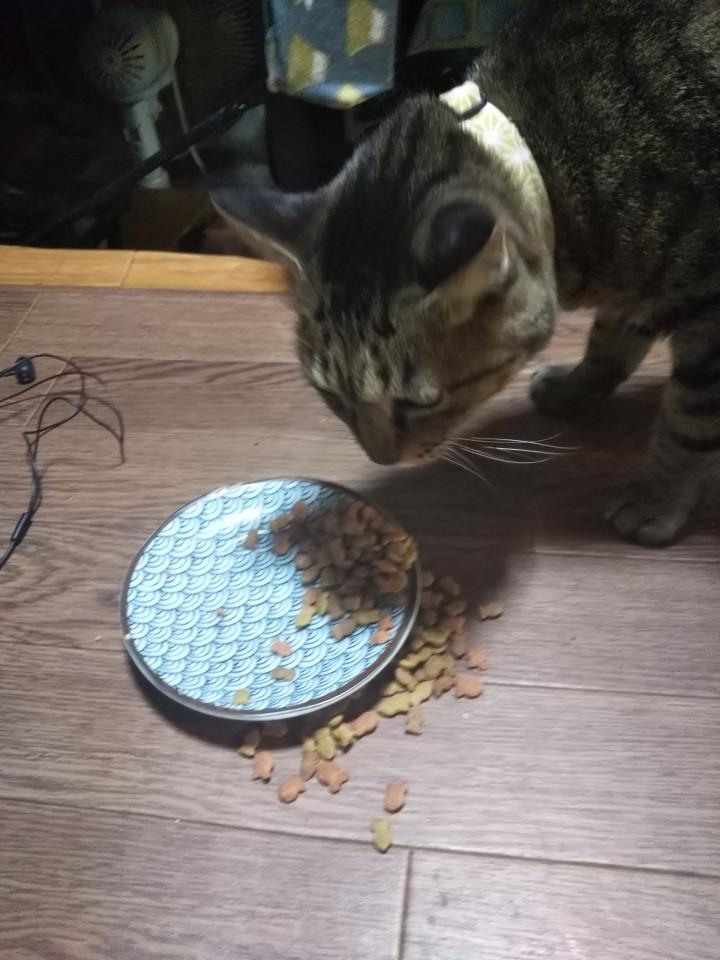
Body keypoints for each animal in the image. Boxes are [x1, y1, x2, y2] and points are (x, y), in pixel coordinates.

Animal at [212, 0, 720, 546]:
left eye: (420, 403)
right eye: (331, 396)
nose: (379, 459)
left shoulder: (708, 317)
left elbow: (688, 423)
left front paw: (656, 500)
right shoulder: (635, 292)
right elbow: (610, 340)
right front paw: (575, 388)